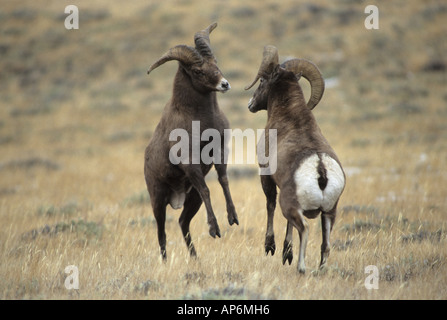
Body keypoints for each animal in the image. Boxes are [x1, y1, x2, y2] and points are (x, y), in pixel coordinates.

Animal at [145, 22, 240, 260]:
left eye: (216, 62)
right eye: (197, 71)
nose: (224, 84)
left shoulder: (220, 152)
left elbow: (223, 180)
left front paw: (233, 218)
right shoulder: (190, 163)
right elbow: (207, 189)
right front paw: (214, 230)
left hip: (191, 200)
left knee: (182, 222)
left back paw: (195, 259)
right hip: (158, 201)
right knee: (161, 233)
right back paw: (165, 262)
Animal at [245, 46, 346, 274]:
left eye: (262, 80)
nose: (250, 104)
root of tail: (320, 169)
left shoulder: (266, 176)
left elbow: (270, 206)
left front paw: (272, 248)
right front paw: (285, 253)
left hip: (291, 206)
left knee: (305, 228)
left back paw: (301, 267)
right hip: (329, 213)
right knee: (326, 245)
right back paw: (320, 270)